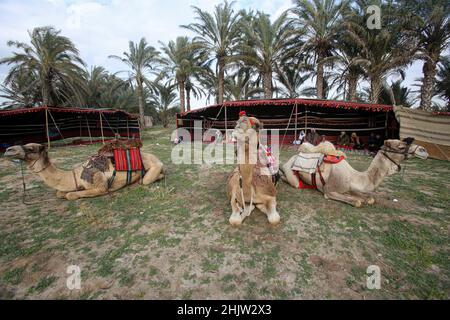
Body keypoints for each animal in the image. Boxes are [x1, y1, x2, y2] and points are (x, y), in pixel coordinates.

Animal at [3, 141, 165, 199]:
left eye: (31, 148)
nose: (8, 150)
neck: (75, 175)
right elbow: (60, 193)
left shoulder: (100, 186)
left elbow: (70, 195)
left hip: (154, 165)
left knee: (147, 179)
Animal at [282, 138, 428, 208]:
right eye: (401, 146)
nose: (423, 150)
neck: (353, 177)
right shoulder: (329, 191)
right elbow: (357, 202)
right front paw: (356, 200)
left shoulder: (352, 188)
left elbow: (369, 198)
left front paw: (362, 198)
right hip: (291, 173)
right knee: (292, 180)